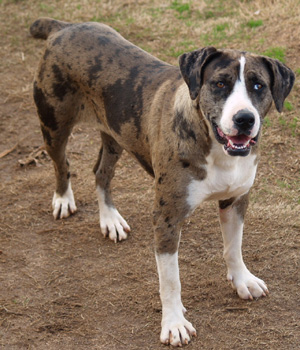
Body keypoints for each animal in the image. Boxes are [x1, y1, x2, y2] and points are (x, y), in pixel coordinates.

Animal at [30, 17, 296, 346]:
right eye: (220, 83)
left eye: (258, 85)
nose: (245, 119)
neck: (215, 146)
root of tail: (64, 26)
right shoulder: (167, 218)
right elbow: (170, 280)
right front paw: (174, 323)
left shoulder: (235, 200)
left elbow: (233, 247)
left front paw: (242, 280)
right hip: (53, 124)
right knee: (62, 164)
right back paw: (64, 199)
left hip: (116, 133)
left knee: (101, 172)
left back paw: (110, 219)